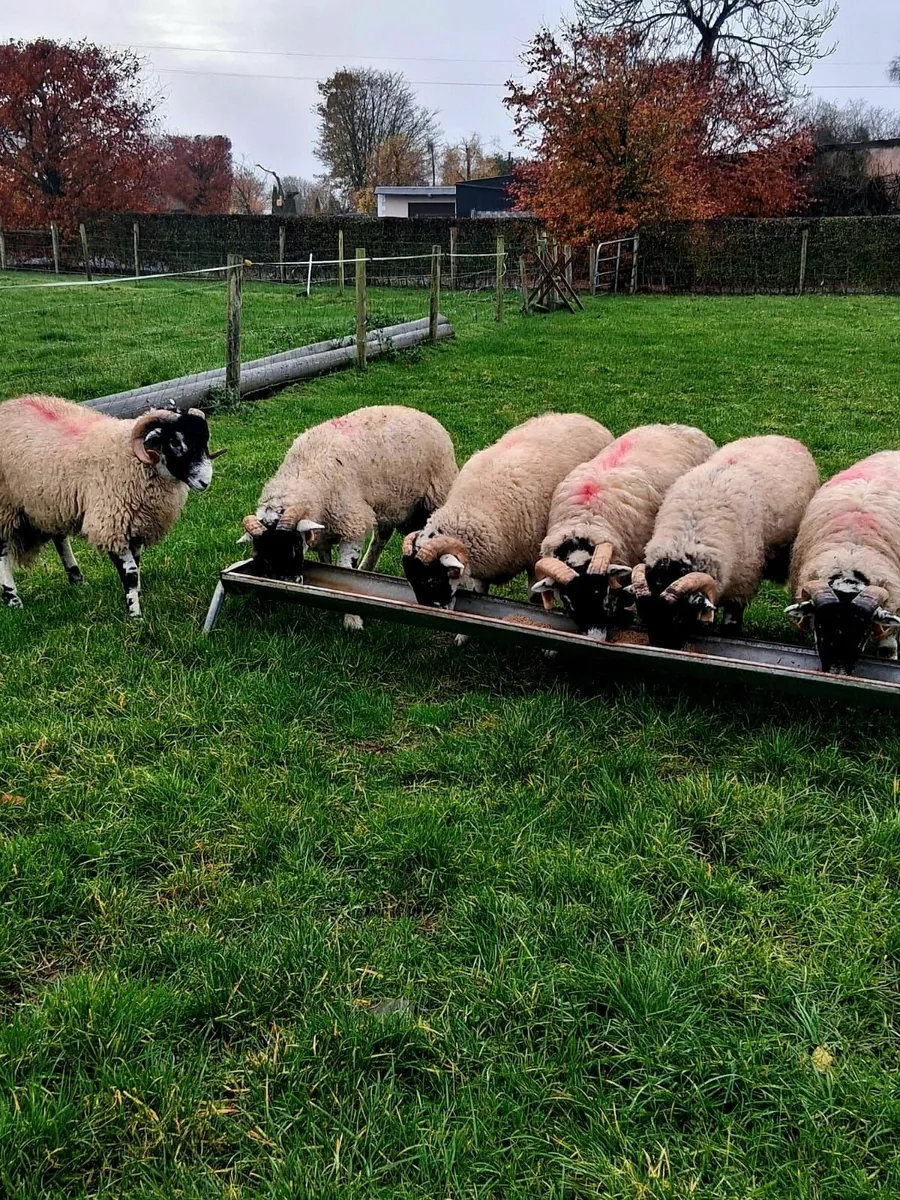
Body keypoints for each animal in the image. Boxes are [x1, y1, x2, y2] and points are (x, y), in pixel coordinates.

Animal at [0, 395, 222, 619]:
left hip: (51, 501)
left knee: (59, 538)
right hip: (6, 505)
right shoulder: (111, 527)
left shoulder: (135, 526)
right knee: (2, 550)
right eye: (175, 442)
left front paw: (137, 595)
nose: (205, 482)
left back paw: (78, 580)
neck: (130, 456)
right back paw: (12, 598)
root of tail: (8, 405)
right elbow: (130, 572)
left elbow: (137, 564)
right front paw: (135, 614)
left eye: (205, 440)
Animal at [239, 405, 458, 630]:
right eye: (264, 555)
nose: (288, 581)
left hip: (432, 497)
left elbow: (347, 570)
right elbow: (329, 563)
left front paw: (352, 620)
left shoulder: (352, 523)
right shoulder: (324, 533)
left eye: (295, 546)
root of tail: (418, 412)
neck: (304, 473)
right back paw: (367, 567)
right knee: (381, 538)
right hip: (388, 504)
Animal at [401, 413, 613, 627]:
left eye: (433, 581)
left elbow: (534, 599)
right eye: (411, 581)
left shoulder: (534, 559)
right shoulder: (483, 568)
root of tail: (583, 416)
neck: (469, 508)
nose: (429, 613)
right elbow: (480, 595)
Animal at [631, 435, 819, 649]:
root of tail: (780, 437)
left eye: (678, 617)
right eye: (645, 617)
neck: (688, 538)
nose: (663, 647)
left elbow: (730, 627)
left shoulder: (740, 588)